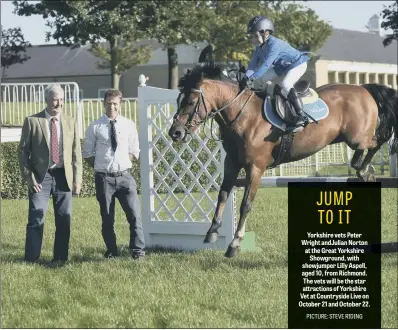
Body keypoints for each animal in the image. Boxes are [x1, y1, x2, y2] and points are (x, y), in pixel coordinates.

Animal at [166, 62, 396, 258]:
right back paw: (363, 170)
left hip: (356, 137)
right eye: (178, 101)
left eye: (190, 102)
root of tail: (363, 88)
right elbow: (223, 195)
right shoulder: (231, 163)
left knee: (377, 141)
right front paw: (212, 231)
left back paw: (364, 170)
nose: (175, 133)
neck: (242, 115)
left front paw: (234, 244)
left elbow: (245, 205)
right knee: (368, 147)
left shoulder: (255, 167)